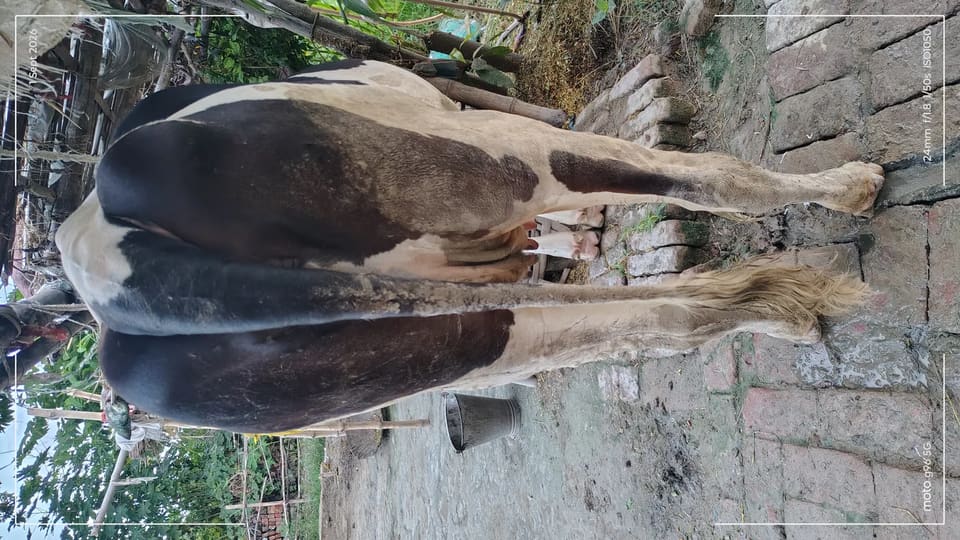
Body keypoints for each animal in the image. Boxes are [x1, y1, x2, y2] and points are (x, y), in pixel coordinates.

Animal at [55, 59, 884, 432]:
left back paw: (779, 305)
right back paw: (844, 192)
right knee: (706, 181)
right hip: (491, 157)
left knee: (650, 322)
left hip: (428, 348)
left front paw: (577, 238)